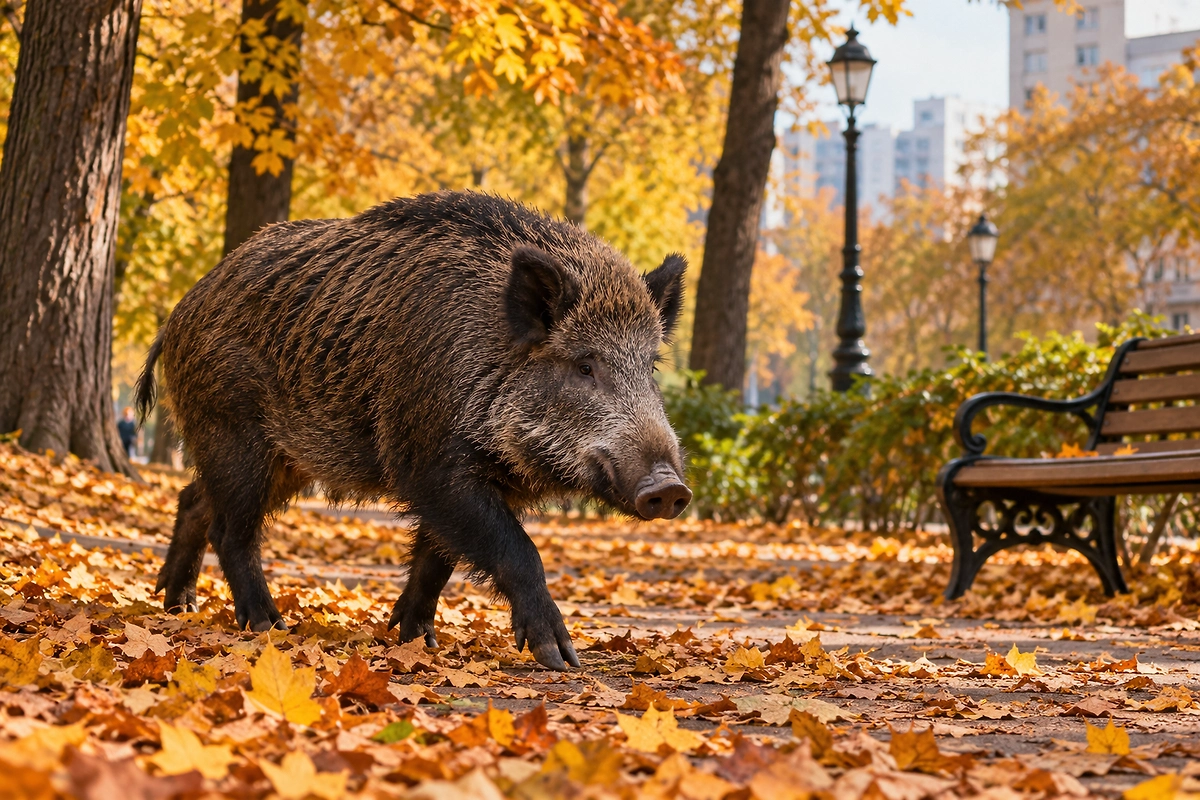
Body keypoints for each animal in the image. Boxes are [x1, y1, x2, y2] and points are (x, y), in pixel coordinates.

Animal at [135, 190, 691, 670]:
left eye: (650, 366)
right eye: (584, 365)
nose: (670, 488)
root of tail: (181, 311)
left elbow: (436, 560)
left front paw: (415, 638)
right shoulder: (430, 463)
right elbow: (517, 551)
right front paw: (561, 658)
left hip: (282, 458)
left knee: (194, 500)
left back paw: (177, 604)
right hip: (234, 433)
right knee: (231, 529)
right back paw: (269, 626)